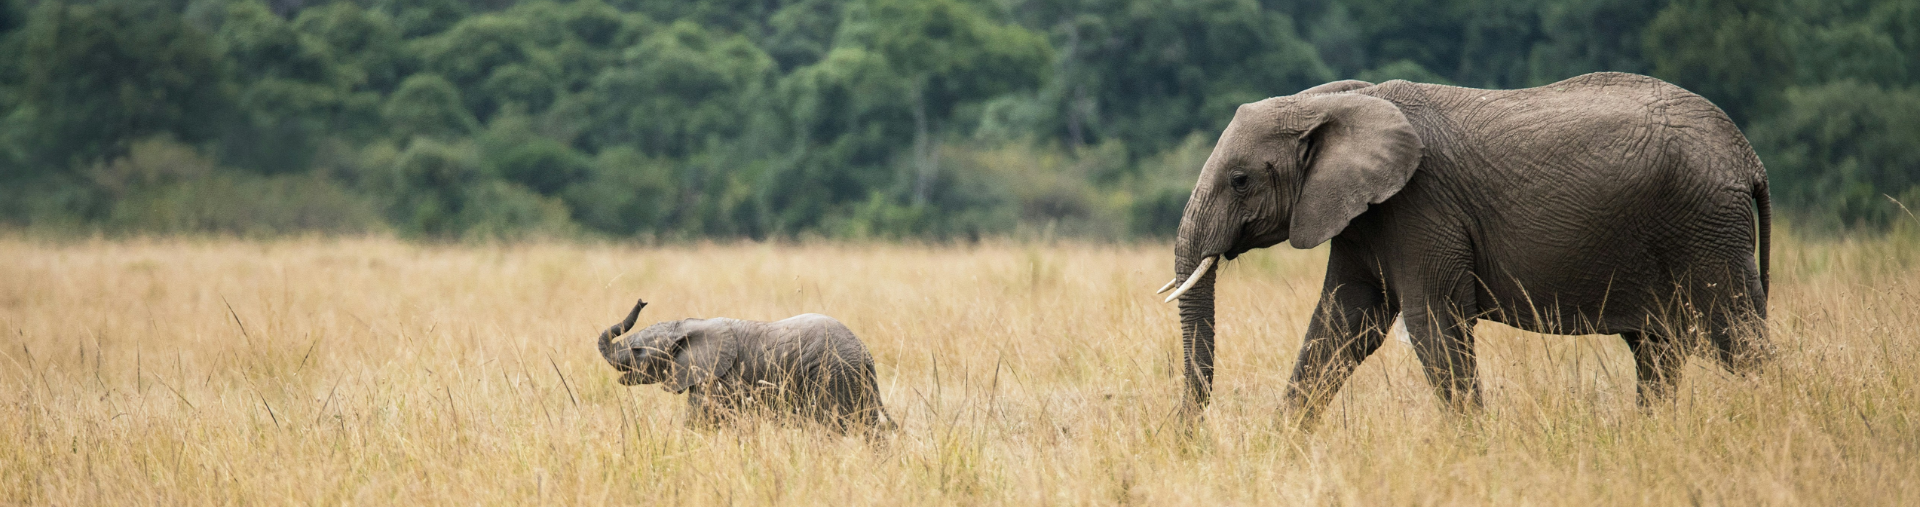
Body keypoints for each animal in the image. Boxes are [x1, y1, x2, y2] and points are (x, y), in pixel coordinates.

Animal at [591, 299, 890, 434]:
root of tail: (865, 353)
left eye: (637, 351)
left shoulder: (719, 380)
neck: (688, 326)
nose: (642, 301)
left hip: (833, 375)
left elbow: (701, 421)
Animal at [1152, 73, 1766, 424]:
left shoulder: (1422, 207)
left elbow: (1433, 326)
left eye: (1239, 181)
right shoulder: (1363, 214)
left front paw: (1473, 445)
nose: (1189, 435)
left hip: (1705, 225)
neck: (1336, 103)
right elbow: (1344, 324)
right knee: (1658, 348)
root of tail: (1748, 157)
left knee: (1738, 339)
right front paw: (1282, 446)